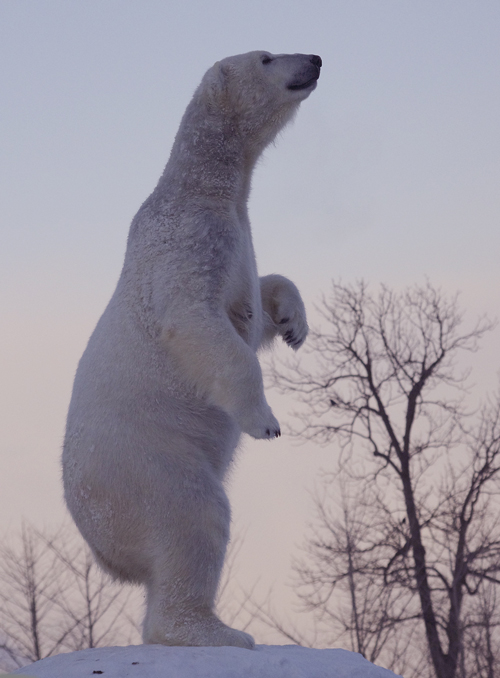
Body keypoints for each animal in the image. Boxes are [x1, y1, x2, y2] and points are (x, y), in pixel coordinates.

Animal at [62, 50, 320, 652]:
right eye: (268, 57)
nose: (316, 59)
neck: (203, 188)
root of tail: (102, 551)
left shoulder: (238, 236)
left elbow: (258, 299)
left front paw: (294, 323)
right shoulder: (188, 237)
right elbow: (194, 318)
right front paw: (265, 419)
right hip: (144, 465)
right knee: (194, 517)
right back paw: (216, 632)